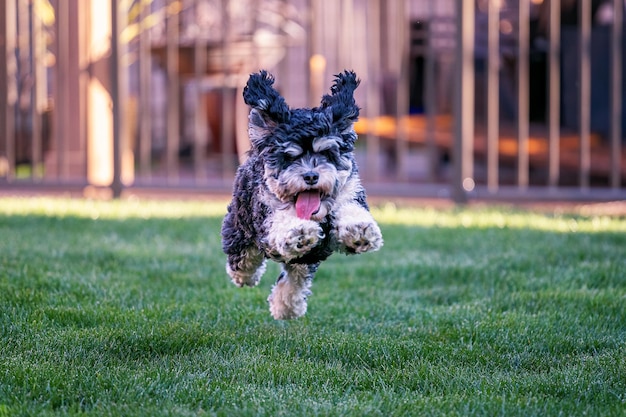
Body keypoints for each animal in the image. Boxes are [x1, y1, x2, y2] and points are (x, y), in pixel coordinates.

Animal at [222, 70, 382, 318]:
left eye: (327, 153)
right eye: (289, 156)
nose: (311, 176)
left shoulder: (350, 193)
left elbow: (351, 209)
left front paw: (359, 230)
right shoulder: (265, 214)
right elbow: (282, 222)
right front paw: (299, 231)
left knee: (294, 276)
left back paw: (286, 307)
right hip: (240, 225)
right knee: (243, 258)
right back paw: (246, 276)